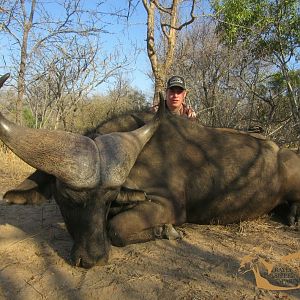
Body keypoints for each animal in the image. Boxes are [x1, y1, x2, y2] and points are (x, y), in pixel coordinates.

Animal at [0, 73, 298, 270]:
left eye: (108, 200)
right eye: (67, 198)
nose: (94, 259)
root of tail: (280, 151)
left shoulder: (169, 206)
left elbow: (116, 228)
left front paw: (166, 231)